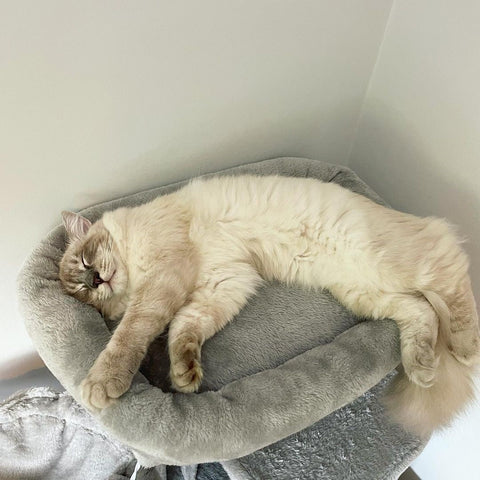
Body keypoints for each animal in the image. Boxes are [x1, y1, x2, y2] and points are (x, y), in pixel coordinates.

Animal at [58, 175, 478, 436]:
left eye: (85, 263)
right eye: (83, 292)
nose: (96, 282)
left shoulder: (166, 279)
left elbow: (131, 335)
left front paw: (99, 386)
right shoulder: (224, 282)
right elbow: (184, 331)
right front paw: (184, 375)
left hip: (389, 263)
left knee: (451, 264)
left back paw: (466, 347)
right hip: (364, 290)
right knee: (422, 310)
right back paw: (422, 367)